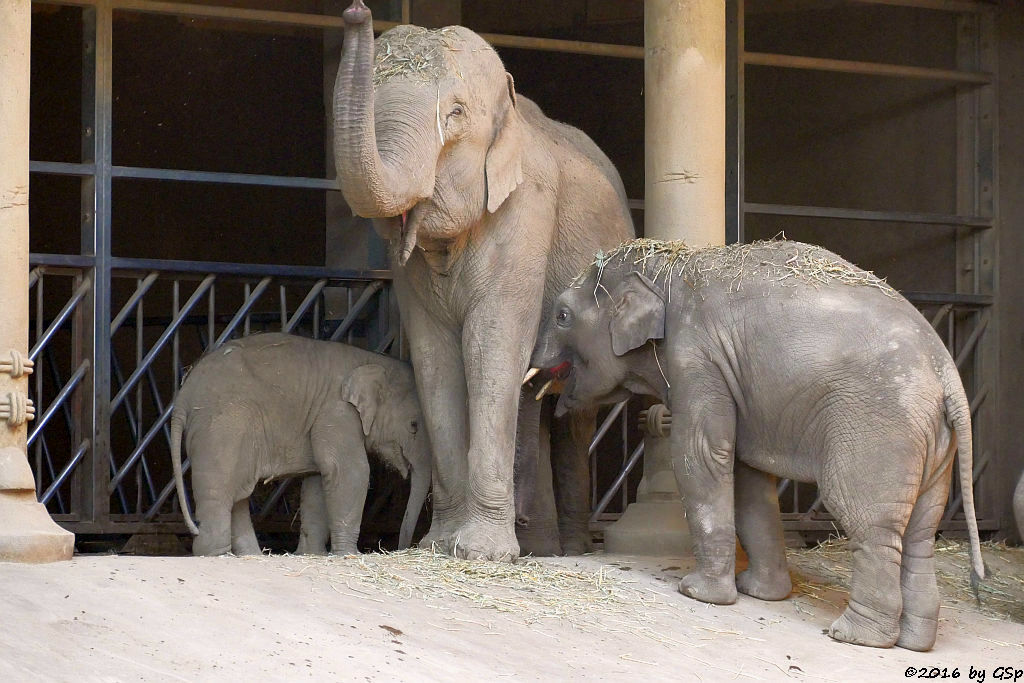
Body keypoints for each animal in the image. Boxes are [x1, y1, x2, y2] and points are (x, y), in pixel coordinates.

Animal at [172, 333, 428, 557]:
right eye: (414, 425)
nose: (402, 546)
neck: (373, 360)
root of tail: (182, 397)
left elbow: (318, 480)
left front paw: (312, 554)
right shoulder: (336, 412)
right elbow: (348, 471)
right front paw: (348, 555)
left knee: (239, 494)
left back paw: (252, 555)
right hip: (221, 428)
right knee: (221, 489)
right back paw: (216, 554)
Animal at [331, 0, 630, 561]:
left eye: (455, 115)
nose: (357, 11)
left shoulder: (526, 214)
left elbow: (488, 345)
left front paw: (482, 554)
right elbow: (436, 357)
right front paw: (440, 545)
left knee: (572, 420)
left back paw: (569, 550)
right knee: (533, 406)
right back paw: (539, 546)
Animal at [528, 240, 983, 651]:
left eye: (563, 315)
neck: (669, 264)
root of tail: (948, 376)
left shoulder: (696, 358)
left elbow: (701, 456)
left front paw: (698, 593)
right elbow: (747, 477)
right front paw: (761, 593)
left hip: (881, 427)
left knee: (871, 523)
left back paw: (855, 636)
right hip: (933, 442)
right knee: (921, 532)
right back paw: (916, 643)